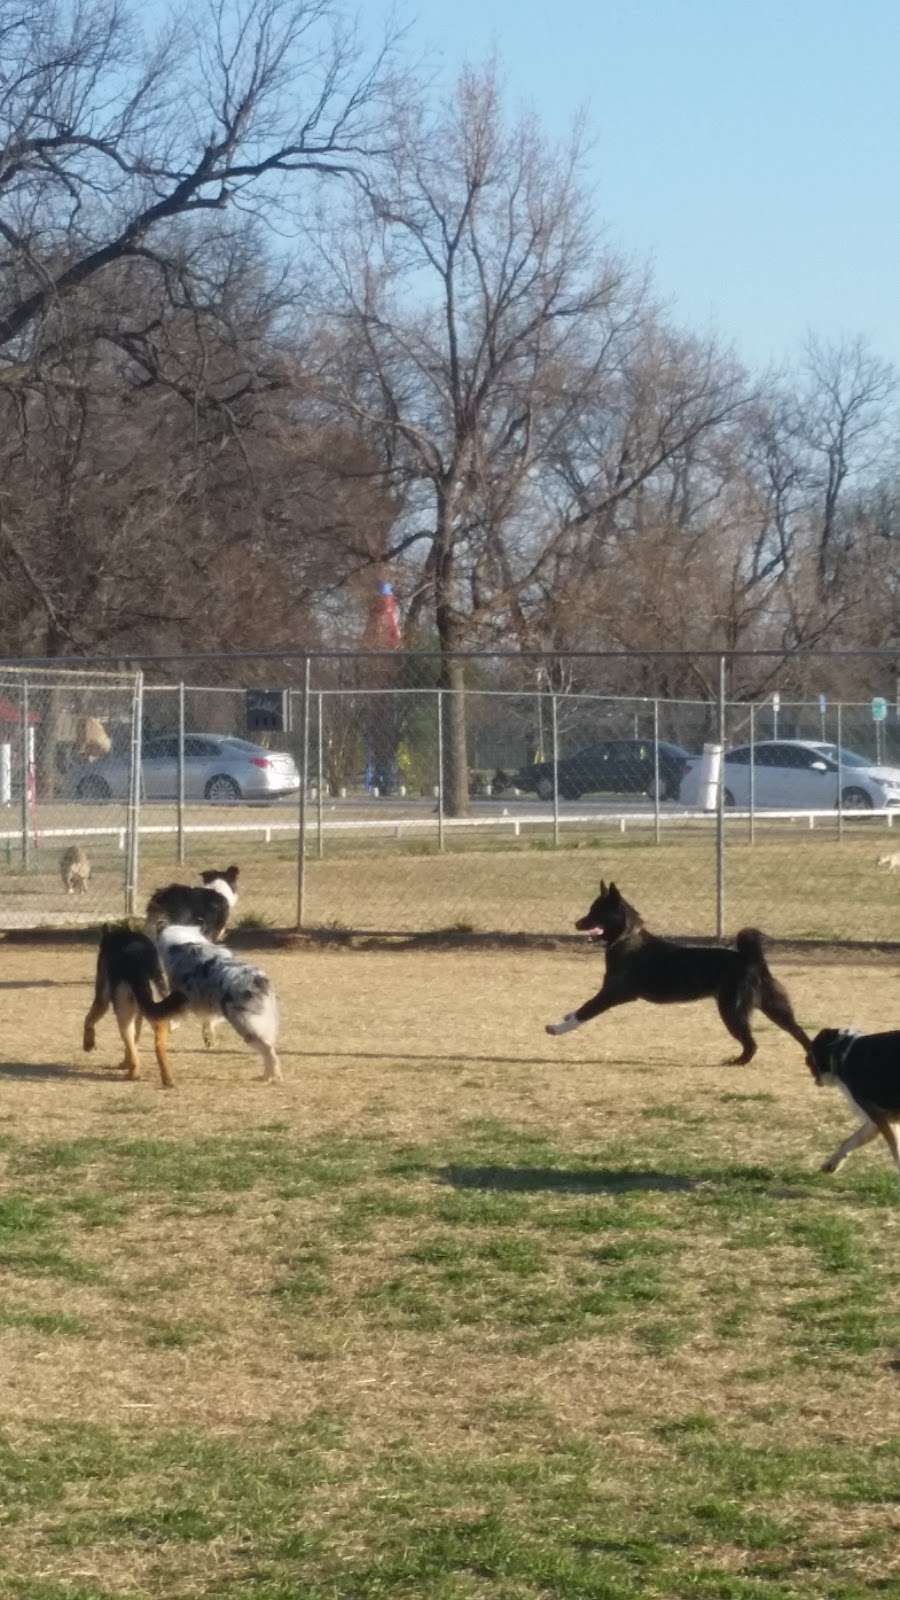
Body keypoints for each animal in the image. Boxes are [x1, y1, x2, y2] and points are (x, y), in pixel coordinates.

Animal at [82, 928, 185, 1088]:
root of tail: (138, 961)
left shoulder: (102, 998)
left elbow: (88, 1020)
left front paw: (88, 1043)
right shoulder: (139, 1013)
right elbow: (134, 1043)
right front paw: (126, 1061)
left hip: (123, 1014)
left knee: (128, 1037)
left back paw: (133, 1074)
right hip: (155, 1005)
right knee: (158, 1038)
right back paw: (167, 1078)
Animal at [155, 928, 280, 1088]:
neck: (182, 943)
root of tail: (258, 979)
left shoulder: (182, 994)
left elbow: (177, 1015)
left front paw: (173, 1025)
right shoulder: (210, 1003)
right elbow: (209, 1021)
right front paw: (208, 1038)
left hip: (245, 1022)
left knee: (268, 1050)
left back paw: (269, 1077)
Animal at [544, 883, 810, 1068]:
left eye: (596, 911)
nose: (577, 923)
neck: (626, 940)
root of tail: (751, 959)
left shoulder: (613, 994)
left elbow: (585, 1009)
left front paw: (557, 1028)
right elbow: (581, 1008)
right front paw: (565, 1017)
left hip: (732, 1010)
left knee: (751, 1043)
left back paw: (737, 1062)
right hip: (775, 1007)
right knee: (798, 1031)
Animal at [800, 1024, 896, 1177]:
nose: (805, 1058)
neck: (841, 1051)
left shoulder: (879, 1117)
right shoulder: (880, 1120)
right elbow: (849, 1141)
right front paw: (831, 1164)